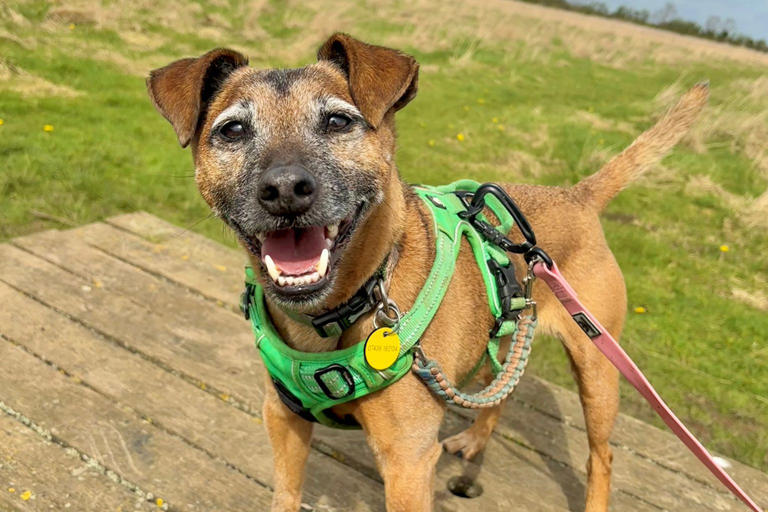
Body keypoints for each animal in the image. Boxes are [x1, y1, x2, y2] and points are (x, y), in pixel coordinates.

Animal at [147, 34, 712, 510]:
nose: (285, 188)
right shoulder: (282, 420)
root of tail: (577, 196)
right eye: (233, 130)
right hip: (500, 337)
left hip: (598, 372)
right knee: (502, 391)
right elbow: (285, 495)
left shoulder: (407, 462)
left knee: (603, 454)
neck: (350, 303)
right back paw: (476, 438)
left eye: (338, 122)